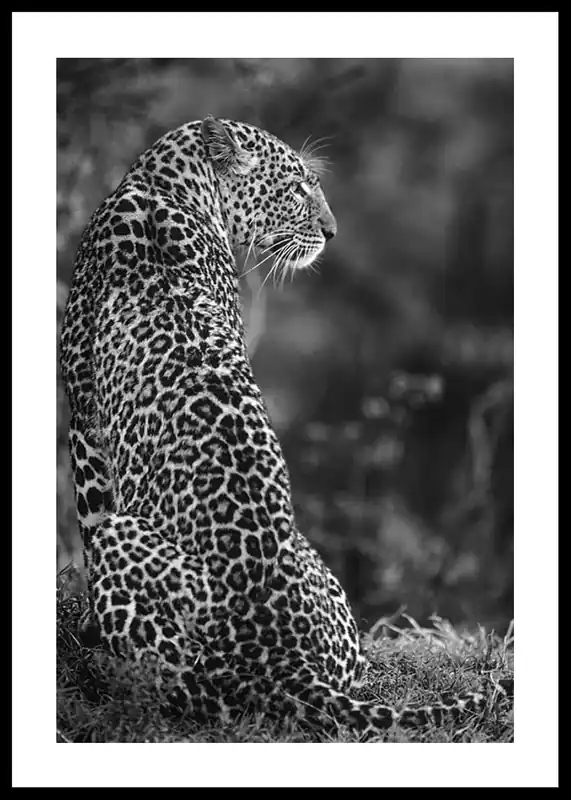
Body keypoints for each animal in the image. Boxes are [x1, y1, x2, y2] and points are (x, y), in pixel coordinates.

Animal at [60, 115, 489, 739]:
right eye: (296, 188)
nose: (333, 233)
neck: (162, 184)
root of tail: (289, 664)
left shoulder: (82, 413)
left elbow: (89, 516)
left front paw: (86, 624)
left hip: (140, 562)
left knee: (186, 687)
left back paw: (110, 666)